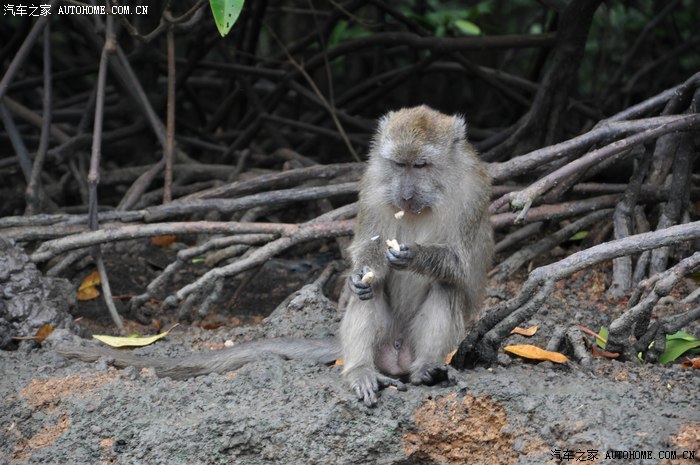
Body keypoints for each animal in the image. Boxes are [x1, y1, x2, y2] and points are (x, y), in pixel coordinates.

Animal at [57, 106, 493, 407]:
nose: (404, 192)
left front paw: (413, 255)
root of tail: (396, 357)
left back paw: (424, 371)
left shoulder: (474, 192)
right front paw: (365, 270)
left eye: (421, 165)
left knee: (446, 289)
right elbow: (363, 251)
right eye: (398, 164)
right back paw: (360, 370)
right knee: (367, 298)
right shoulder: (372, 182)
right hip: (382, 343)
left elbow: (461, 267)